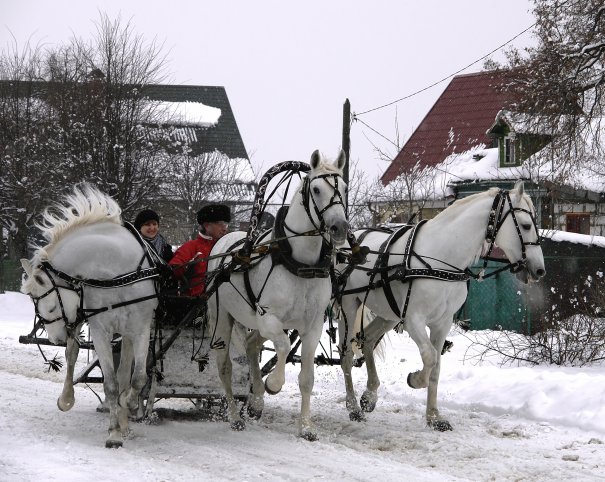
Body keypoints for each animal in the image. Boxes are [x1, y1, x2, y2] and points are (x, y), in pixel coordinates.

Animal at [20, 185, 158, 448]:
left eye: (49, 308)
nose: (55, 338)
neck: (118, 274)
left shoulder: (141, 328)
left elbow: (136, 378)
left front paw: (127, 405)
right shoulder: (101, 330)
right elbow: (110, 383)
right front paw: (113, 433)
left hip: (119, 330)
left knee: (124, 371)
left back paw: (125, 418)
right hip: (80, 320)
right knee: (72, 355)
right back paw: (67, 398)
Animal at [208, 151, 346, 440]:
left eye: (344, 187)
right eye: (316, 189)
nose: (340, 227)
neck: (300, 263)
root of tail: (225, 240)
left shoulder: (312, 327)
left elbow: (307, 378)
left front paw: (306, 427)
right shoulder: (269, 318)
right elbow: (282, 346)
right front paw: (273, 384)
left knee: (251, 346)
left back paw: (256, 402)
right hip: (222, 319)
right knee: (225, 368)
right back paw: (235, 416)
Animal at [338, 181, 544, 430]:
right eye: (525, 225)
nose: (539, 270)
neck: (441, 258)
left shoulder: (441, 323)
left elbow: (436, 367)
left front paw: (434, 416)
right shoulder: (413, 320)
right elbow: (429, 357)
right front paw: (415, 379)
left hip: (389, 313)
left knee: (367, 340)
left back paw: (370, 395)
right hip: (348, 306)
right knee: (346, 353)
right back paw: (352, 406)